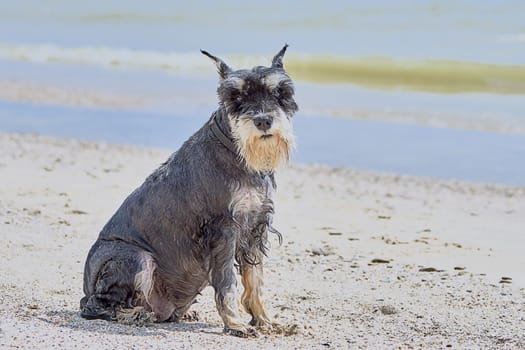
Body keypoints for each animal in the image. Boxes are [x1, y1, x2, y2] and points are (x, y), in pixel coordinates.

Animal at [79, 44, 296, 336]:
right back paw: (135, 315)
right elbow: (227, 281)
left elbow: (255, 280)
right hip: (134, 258)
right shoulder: (223, 230)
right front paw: (236, 324)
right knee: (96, 305)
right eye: (235, 96)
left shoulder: (255, 228)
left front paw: (266, 320)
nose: (263, 121)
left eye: (280, 92)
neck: (237, 150)